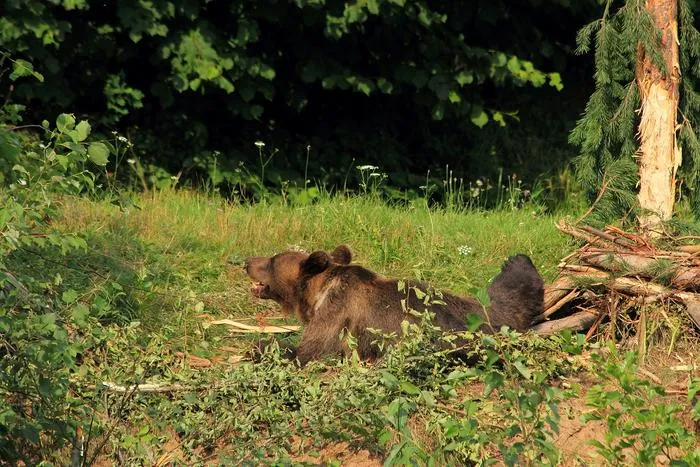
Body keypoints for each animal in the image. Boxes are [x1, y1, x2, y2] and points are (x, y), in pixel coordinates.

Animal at [244, 245, 543, 365]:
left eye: (271, 261)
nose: (246, 262)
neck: (317, 294)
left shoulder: (336, 316)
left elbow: (308, 352)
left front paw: (260, 346)